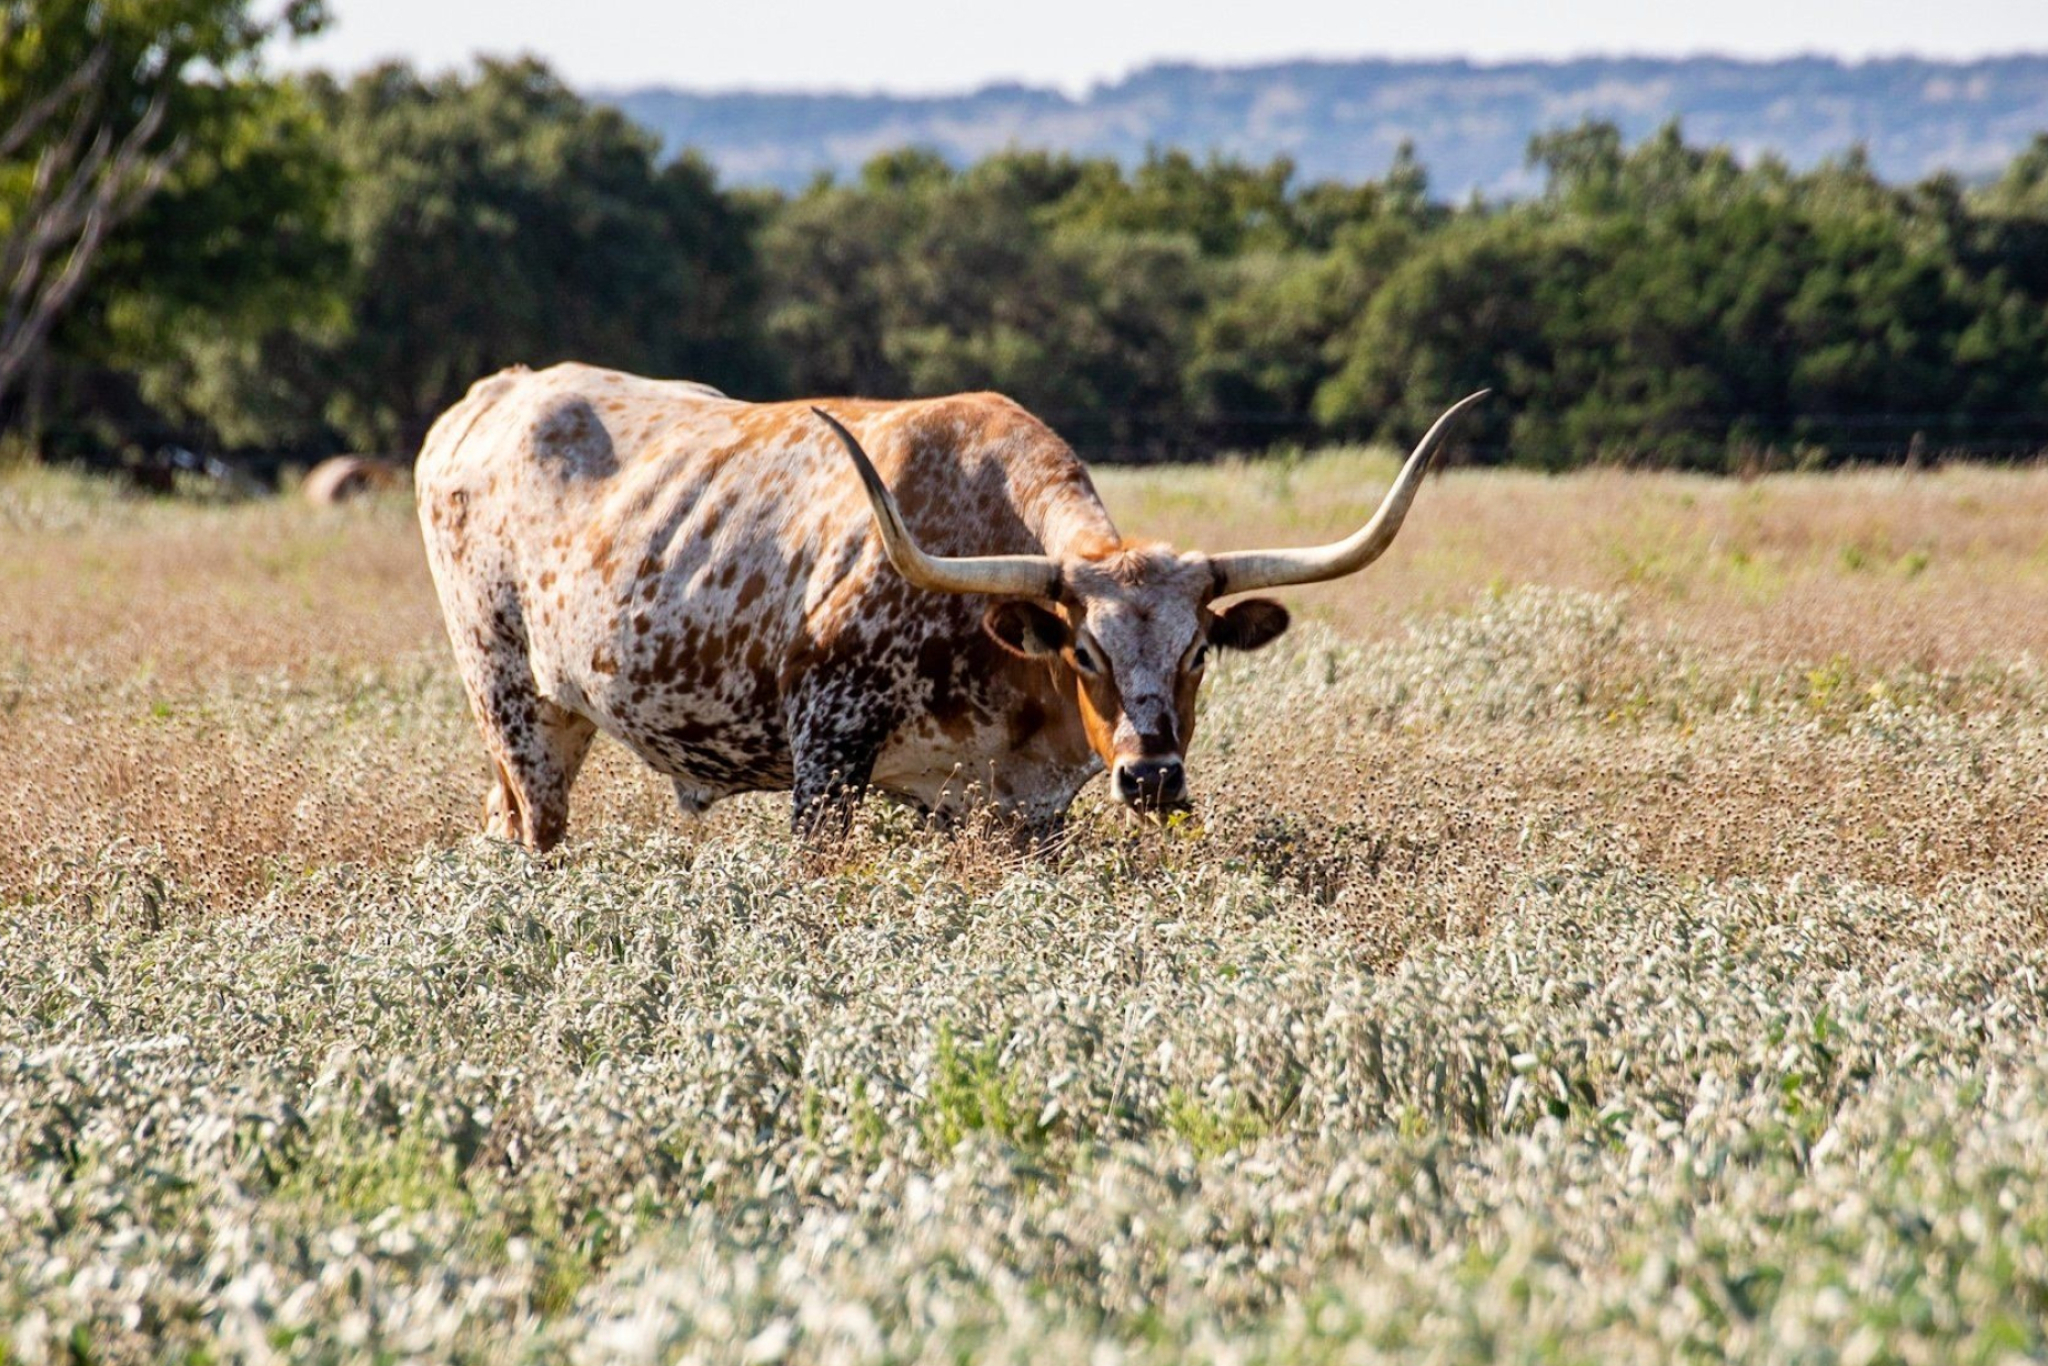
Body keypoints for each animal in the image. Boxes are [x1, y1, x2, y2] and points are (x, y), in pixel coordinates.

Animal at [411, 362, 1490, 856]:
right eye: (1085, 652)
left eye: (1197, 653)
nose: (1150, 777)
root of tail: (496, 393)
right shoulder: (827, 751)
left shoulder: (1017, 808)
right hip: (504, 695)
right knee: (532, 829)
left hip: (560, 711)